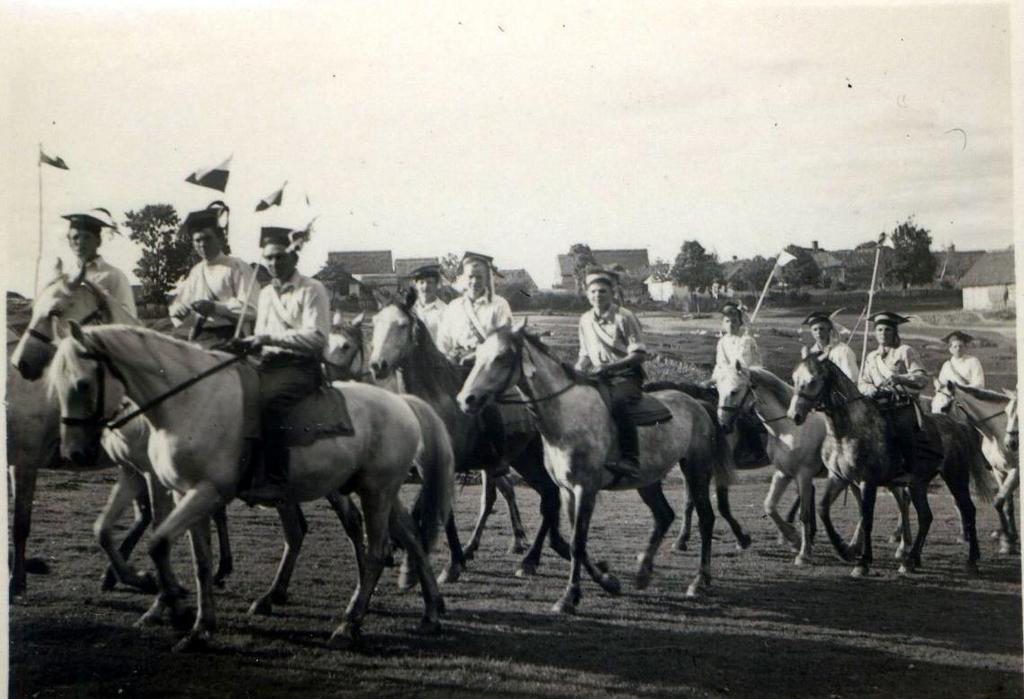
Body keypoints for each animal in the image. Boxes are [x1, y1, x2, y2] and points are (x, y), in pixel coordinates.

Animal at [49, 323, 452, 650]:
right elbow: (196, 560)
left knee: (375, 550)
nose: (75, 452)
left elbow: (158, 542)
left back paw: (349, 624)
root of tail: (401, 402)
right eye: (55, 385)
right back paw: (430, 612)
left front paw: (171, 605)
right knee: (411, 537)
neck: (188, 402)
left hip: (375, 492)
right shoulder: (177, 489)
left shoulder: (202, 491)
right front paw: (198, 625)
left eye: (83, 384)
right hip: (378, 491)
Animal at [368, 290, 573, 581]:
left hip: (530, 458)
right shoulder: (427, 468)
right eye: (375, 323)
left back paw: (530, 559)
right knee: (541, 494)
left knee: (549, 496)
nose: (378, 365)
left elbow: (442, 511)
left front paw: (451, 564)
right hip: (520, 460)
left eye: (403, 325)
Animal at [786, 356, 995, 581]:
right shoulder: (839, 478)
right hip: (918, 484)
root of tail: (958, 426)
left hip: (956, 478)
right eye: (795, 379)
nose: (794, 415)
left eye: (813, 380)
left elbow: (866, 518)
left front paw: (862, 563)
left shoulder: (867, 482)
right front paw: (844, 550)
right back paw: (911, 560)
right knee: (926, 517)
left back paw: (971, 561)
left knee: (968, 510)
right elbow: (823, 509)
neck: (848, 431)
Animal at [933, 382, 1019, 552]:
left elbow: (999, 501)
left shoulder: (1015, 471)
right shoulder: (1000, 472)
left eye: (945, 407)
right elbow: (1006, 505)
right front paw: (1009, 537)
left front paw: (1007, 540)